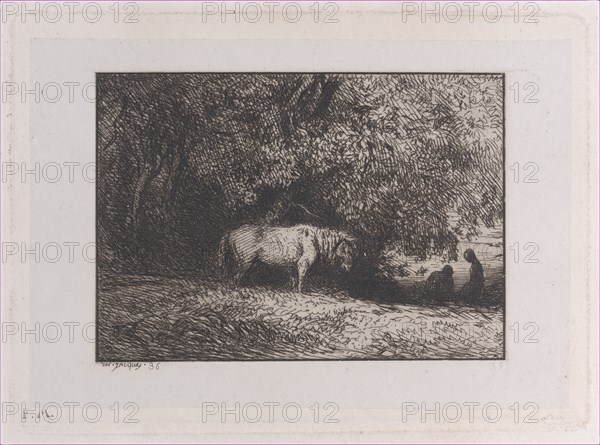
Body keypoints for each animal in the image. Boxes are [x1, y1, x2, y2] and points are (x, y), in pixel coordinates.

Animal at [217, 224, 354, 294]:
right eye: (346, 249)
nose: (349, 268)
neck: (315, 239)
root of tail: (231, 232)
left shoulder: (292, 266)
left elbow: (293, 280)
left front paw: (292, 292)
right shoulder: (302, 264)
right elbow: (300, 279)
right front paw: (300, 293)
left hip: (250, 263)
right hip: (245, 262)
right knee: (235, 277)